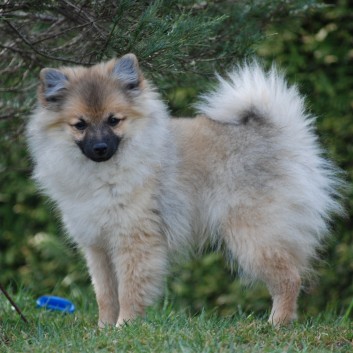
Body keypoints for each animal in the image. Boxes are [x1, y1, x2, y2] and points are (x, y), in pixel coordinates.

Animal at [26, 53, 340, 326]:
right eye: (80, 125)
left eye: (114, 120)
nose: (100, 147)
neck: (104, 174)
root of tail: (283, 137)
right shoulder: (98, 246)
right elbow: (105, 294)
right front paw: (103, 328)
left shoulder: (133, 241)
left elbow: (128, 291)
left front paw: (124, 326)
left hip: (254, 236)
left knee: (290, 279)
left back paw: (277, 323)